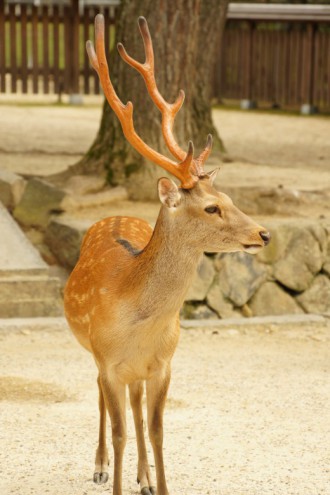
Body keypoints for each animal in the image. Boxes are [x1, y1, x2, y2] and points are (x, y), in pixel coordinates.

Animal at [63, 14, 270, 495]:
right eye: (211, 207)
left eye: (229, 197)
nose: (264, 233)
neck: (139, 325)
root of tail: (115, 214)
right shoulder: (109, 361)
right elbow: (119, 429)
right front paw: (114, 477)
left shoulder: (164, 364)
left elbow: (157, 429)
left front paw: (158, 483)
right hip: (93, 356)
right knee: (102, 400)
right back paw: (100, 465)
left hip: (137, 373)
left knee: (137, 407)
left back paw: (143, 477)